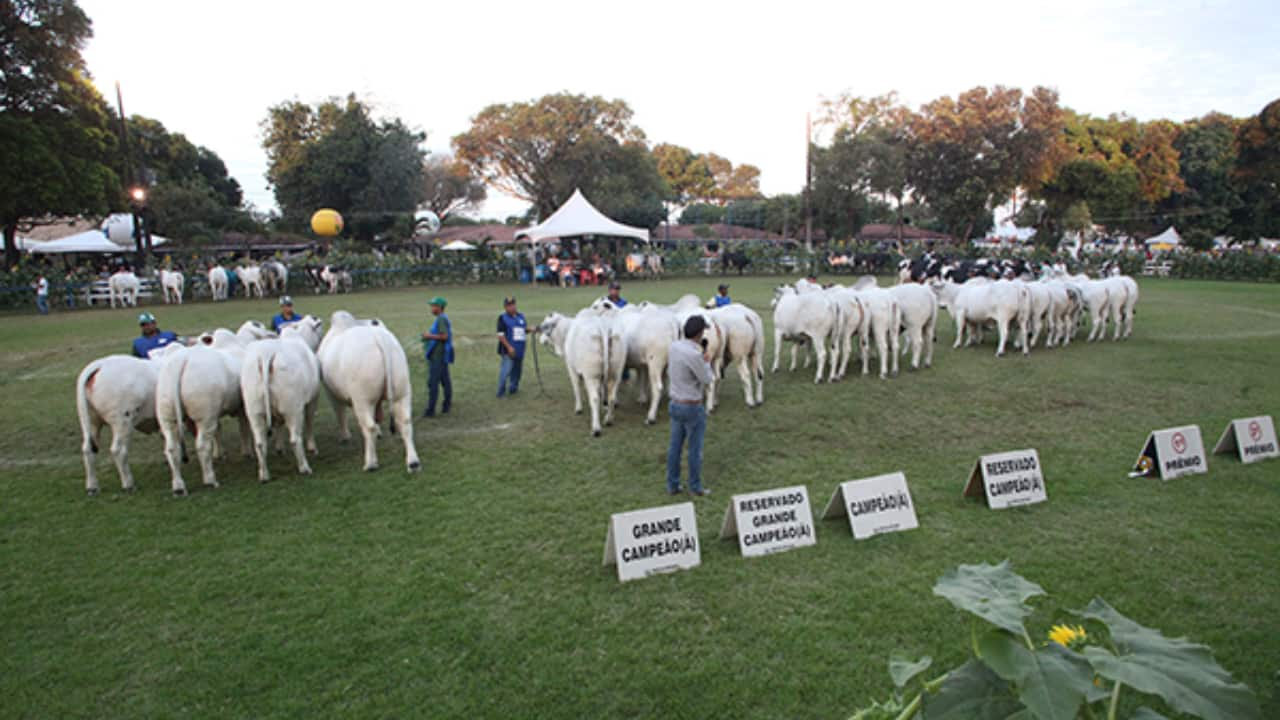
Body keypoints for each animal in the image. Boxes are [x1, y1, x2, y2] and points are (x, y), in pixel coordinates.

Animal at [74, 353, 162, 491]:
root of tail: (99, 365)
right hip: (123, 421)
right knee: (118, 451)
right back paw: (128, 484)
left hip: (91, 421)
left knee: (89, 449)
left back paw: (92, 486)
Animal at [317, 310, 422, 471]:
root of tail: (379, 338)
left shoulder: (331, 393)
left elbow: (340, 414)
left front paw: (345, 437)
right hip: (401, 391)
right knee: (405, 422)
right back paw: (413, 462)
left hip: (362, 399)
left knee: (369, 427)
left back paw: (370, 463)